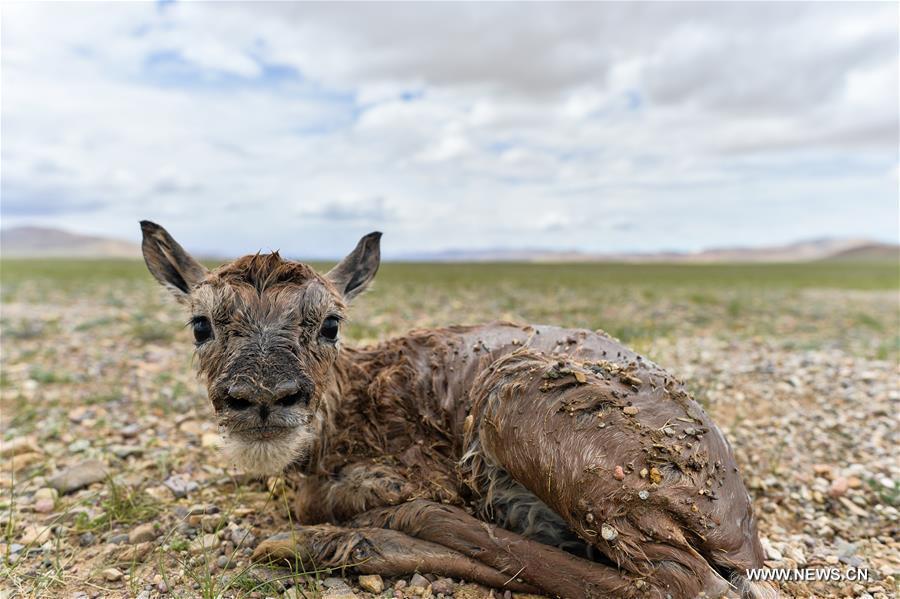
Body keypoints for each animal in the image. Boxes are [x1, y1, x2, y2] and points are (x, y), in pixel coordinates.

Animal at [141, 223, 772, 596]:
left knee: (679, 584)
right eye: (200, 325)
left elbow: (335, 498)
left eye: (331, 324)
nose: (263, 399)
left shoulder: (415, 474)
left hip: (512, 403)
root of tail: (737, 526)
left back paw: (330, 542)